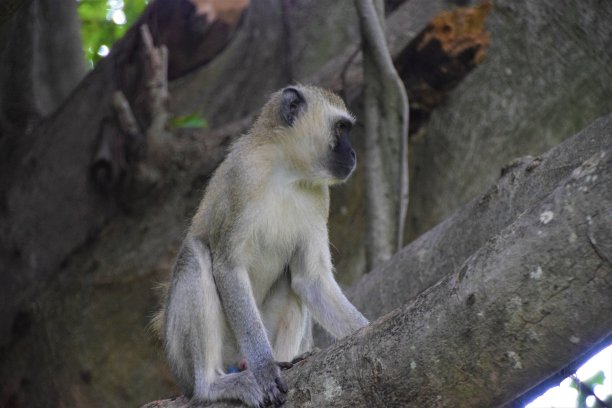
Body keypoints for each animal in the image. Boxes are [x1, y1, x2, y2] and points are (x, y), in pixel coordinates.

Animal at [160, 84, 368, 406]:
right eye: (341, 128)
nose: (354, 154)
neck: (287, 172)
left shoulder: (320, 196)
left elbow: (311, 281)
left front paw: (366, 329)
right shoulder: (243, 176)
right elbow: (228, 267)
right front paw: (265, 368)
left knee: (294, 283)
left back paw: (289, 360)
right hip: (188, 359)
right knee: (196, 256)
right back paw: (214, 384)